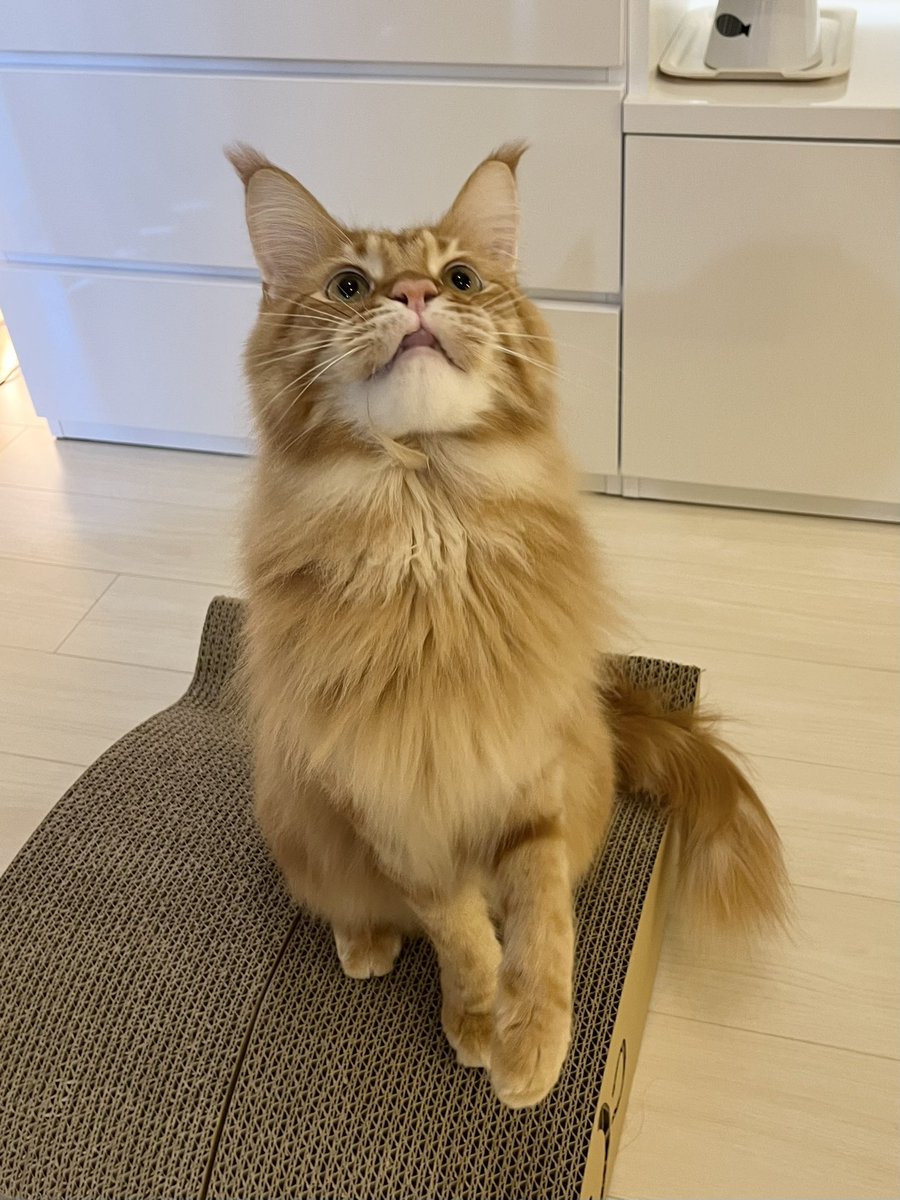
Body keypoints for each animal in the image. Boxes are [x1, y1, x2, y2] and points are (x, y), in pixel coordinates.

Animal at [227, 141, 788, 1109]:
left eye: (459, 277)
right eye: (349, 286)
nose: (416, 294)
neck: (429, 535)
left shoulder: (531, 777)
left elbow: (542, 922)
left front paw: (531, 1040)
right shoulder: (393, 806)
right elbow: (457, 930)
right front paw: (481, 1016)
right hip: (300, 822)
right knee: (353, 905)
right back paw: (365, 942)